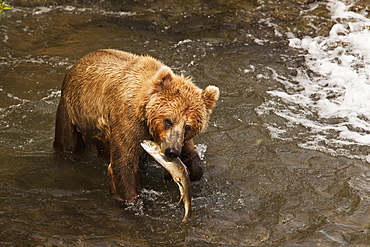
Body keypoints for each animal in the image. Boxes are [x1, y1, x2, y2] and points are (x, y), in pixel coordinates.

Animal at [53, 48, 218, 203]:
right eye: (168, 120)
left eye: (188, 126)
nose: (172, 151)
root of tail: (77, 63)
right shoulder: (128, 123)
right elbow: (123, 166)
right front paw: (132, 201)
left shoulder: (178, 139)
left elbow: (192, 155)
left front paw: (180, 172)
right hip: (71, 113)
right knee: (67, 142)